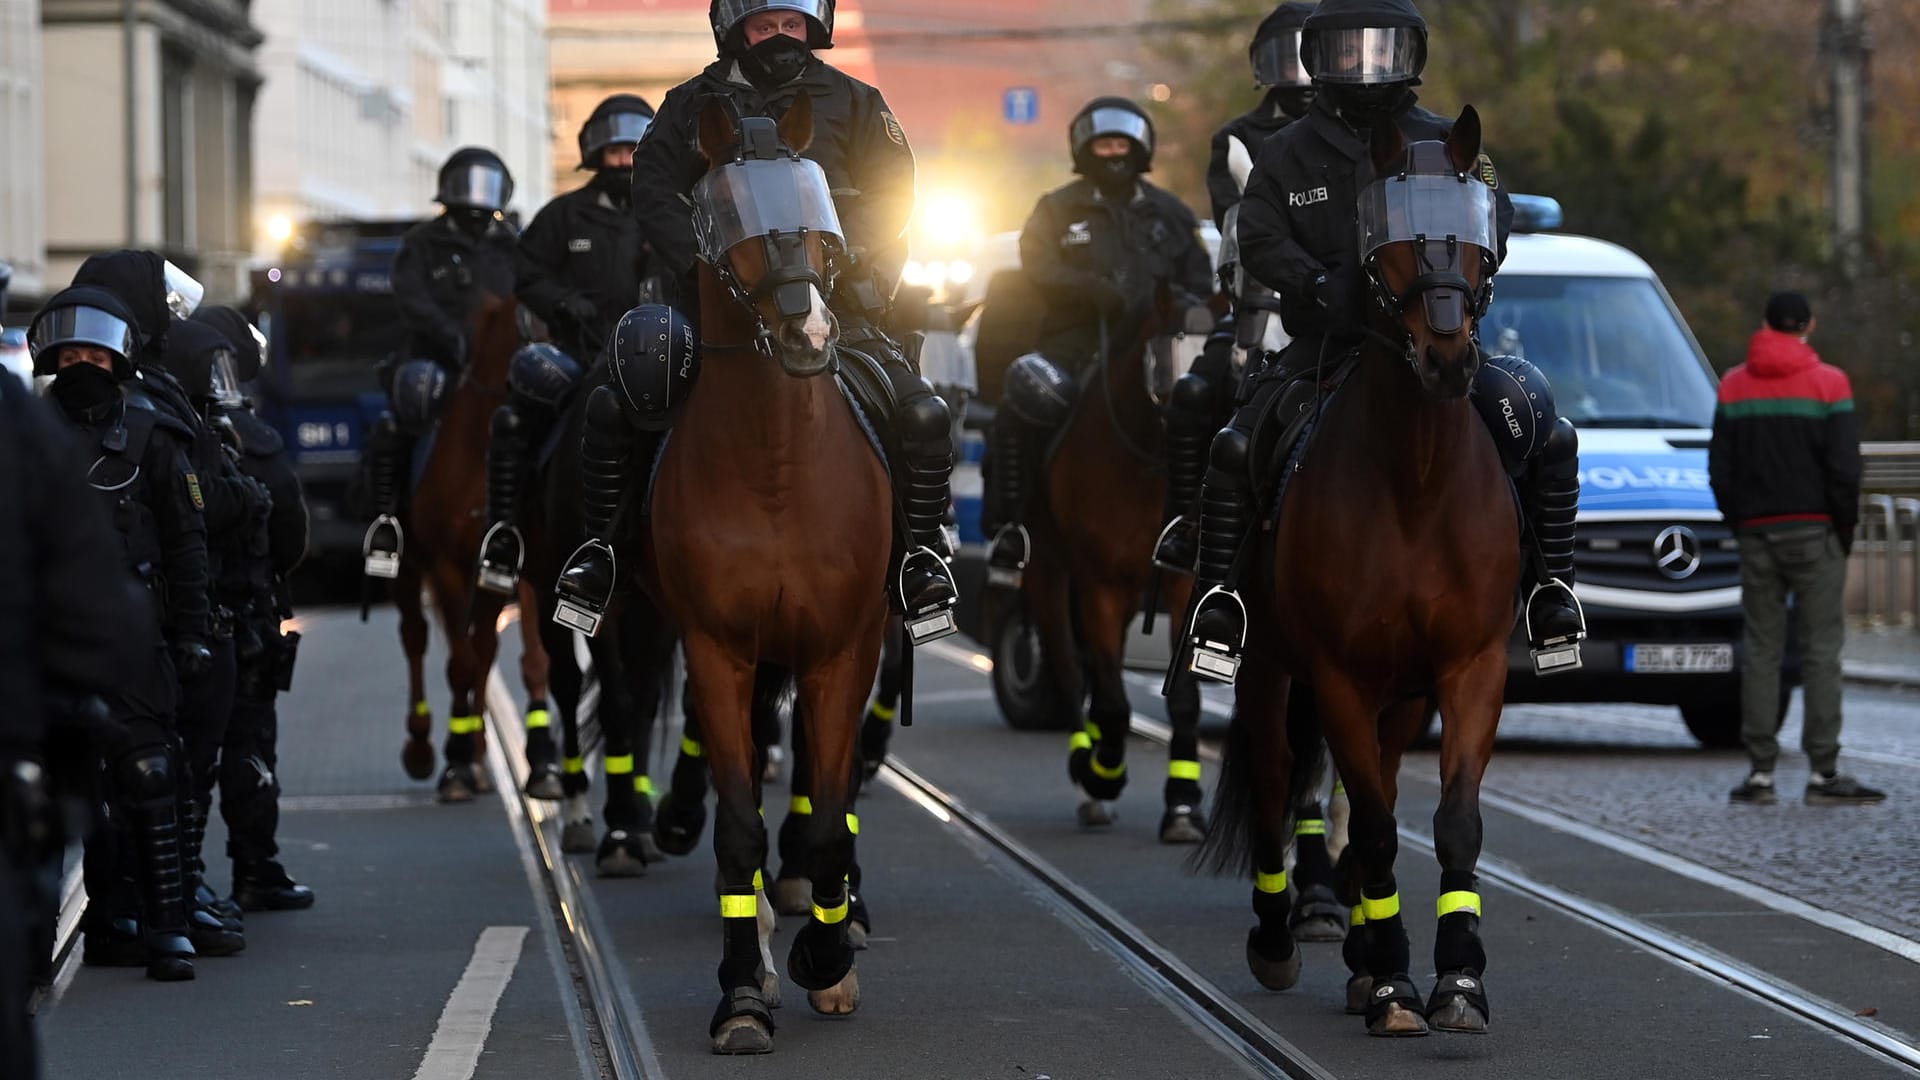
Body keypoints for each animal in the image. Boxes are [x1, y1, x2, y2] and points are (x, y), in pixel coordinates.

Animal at [393, 294, 552, 799]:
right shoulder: (445, 564)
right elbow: (459, 662)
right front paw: (457, 763)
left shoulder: (503, 567)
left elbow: (490, 653)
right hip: (409, 568)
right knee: (416, 638)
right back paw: (424, 748)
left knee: (482, 647)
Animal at [1013, 292, 1205, 834]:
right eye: (1173, 366)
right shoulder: (1099, 584)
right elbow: (1114, 701)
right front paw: (1102, 776)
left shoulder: (1180, 587)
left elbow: (1183, 696)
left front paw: (1183, 803)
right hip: (1048, 572)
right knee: (1070, 667)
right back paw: (1089, 770)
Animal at [1198, 107, 1512, 1037]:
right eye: (1390, 242)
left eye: (1476, 238)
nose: (1448, 359)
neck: (1416, 477)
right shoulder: (1335, 673)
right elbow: (1368, 824)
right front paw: (1397, 983)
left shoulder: (1469, 666)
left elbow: (1450, 822)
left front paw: (1456, 977)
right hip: (1270, 665)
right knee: (1275, 779)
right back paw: (1284, 935)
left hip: (1400, 694)